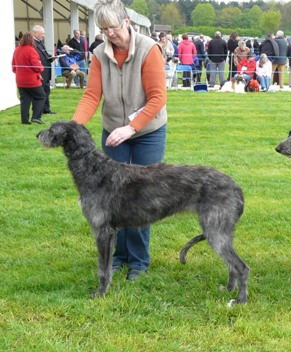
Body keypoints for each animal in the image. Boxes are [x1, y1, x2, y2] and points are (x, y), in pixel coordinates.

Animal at [37, 120, 251, 306]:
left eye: (52, 129)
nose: (37, 134)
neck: (93, 167)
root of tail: (236, 187)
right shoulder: (111, 232)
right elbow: (108, 266)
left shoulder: (102, 230)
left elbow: (102, 269)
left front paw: (100, 294)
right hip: (218, 231)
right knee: (231, 265)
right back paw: (229, 289)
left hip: (216, 230)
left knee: (241, 266)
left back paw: (240, 300)